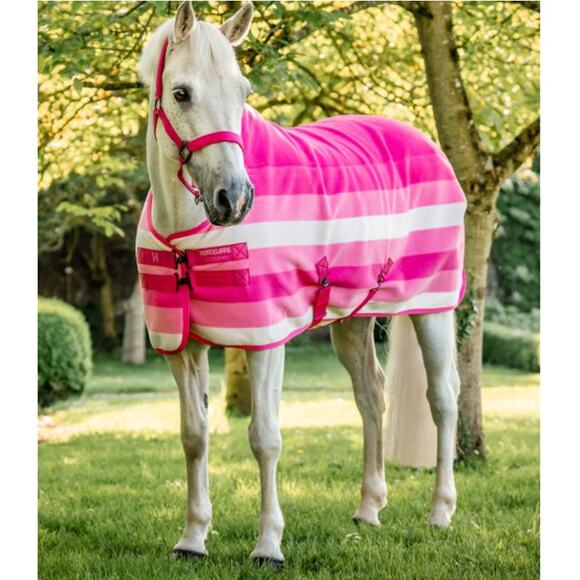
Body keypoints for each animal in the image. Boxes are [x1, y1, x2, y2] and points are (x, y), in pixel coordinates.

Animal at [137, 1, 465, 566]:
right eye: (181, 93)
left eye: (244, 92)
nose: (234, 198)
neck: (187, 234)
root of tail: (424, 139)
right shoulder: (182, 346)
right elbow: (194, 436)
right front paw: (192, 538)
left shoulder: (265, 338)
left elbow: (264, 437)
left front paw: (268, 545)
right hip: (353, 320)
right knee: (371, 396)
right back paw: (368, 509)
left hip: (433, 308)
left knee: (443, 397)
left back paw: (441, 512)